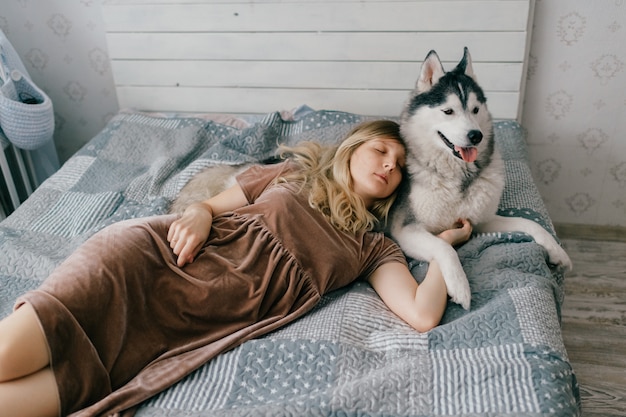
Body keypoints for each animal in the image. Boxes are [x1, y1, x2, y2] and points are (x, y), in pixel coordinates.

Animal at [390, 48, 572, 308]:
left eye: (475, 110)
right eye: (448, 111)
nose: (476, 135)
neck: (457, 177)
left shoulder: (481, 221)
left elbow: (530, 223)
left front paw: (557, 251)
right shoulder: (405, 230)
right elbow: (444, 246)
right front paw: (460, 286)